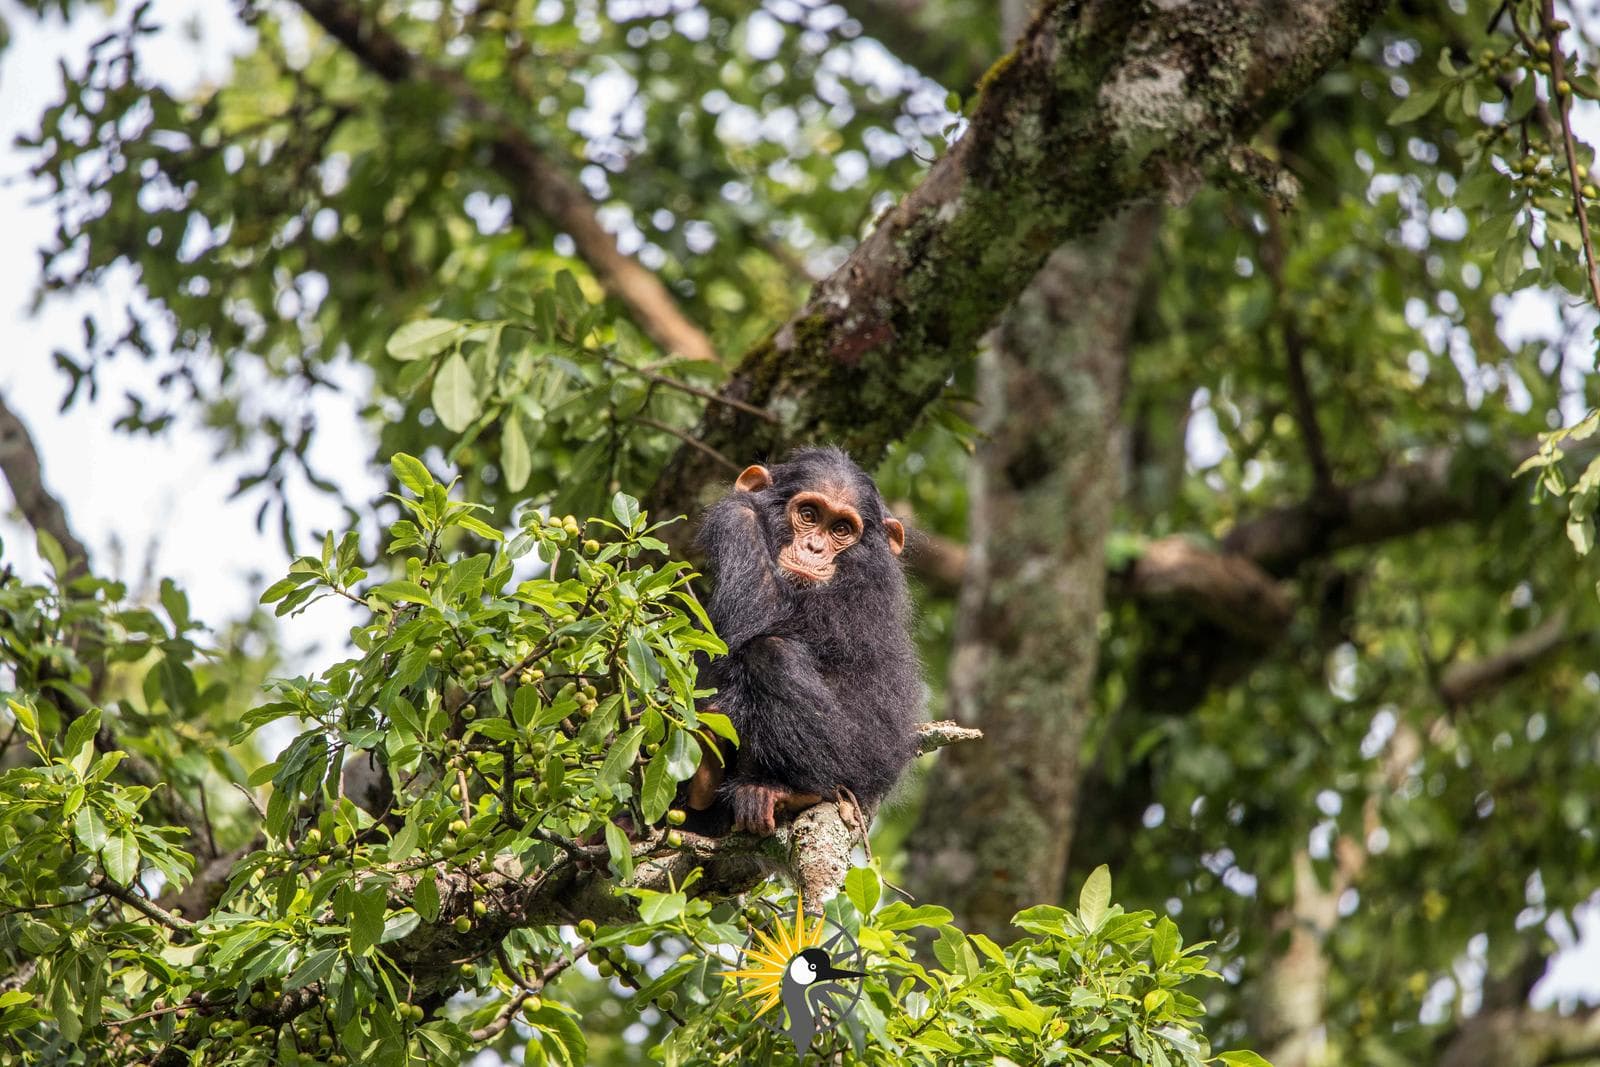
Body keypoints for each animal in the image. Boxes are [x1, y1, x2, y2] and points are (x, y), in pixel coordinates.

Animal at [682, 447, 922, 835]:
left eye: (841, 529)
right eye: (808, 514)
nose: (814, 546)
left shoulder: (862, 594)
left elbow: (762, 614)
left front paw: (743, 512)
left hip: (855, 766)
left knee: (770, 651)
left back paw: (790, 790)